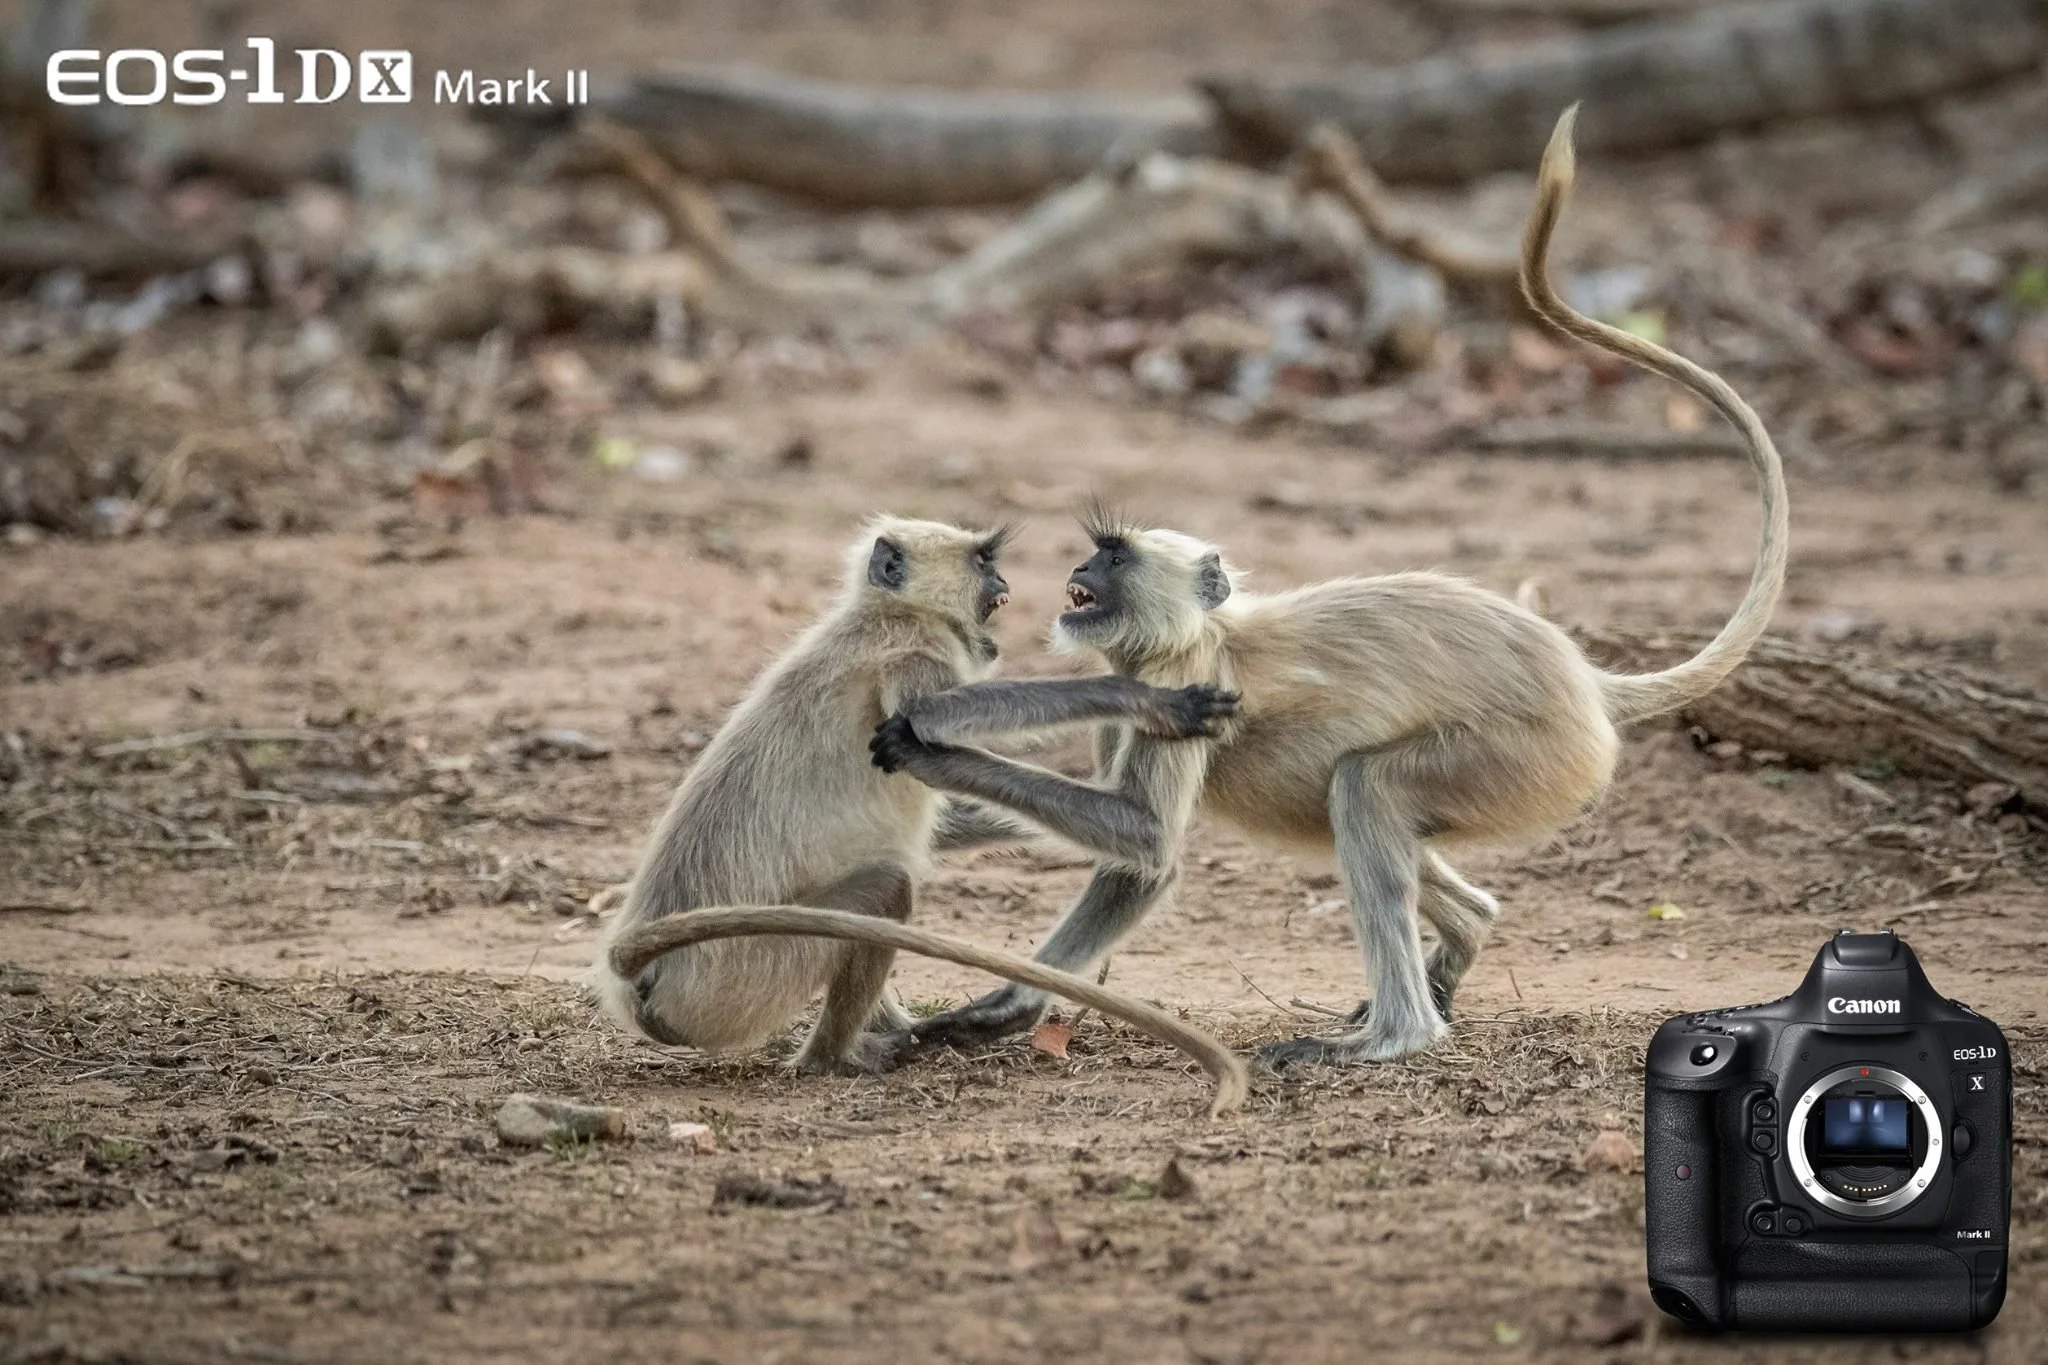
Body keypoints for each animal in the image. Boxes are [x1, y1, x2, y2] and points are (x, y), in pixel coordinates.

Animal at [590, 513, 1245, 1094]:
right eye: (983, 561)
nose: (1003, 581)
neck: (887, 612)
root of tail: (641, 982)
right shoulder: (916, 656)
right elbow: (928, 717)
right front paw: (1141, 698)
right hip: (739, 976)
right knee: (886, 888)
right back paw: (836, 1058)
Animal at [866, 105, 1790, 1072]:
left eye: (1112, 557)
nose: (1077, 575)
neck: (1203, 631)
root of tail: (1585, 678)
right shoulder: (1136, 686)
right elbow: (1122, 841)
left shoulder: (1181, 676)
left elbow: (1148, 844)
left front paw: (938, 762)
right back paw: (1454, 951)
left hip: (1527, 757)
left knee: (1364, 789)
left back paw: (1394, 1034)